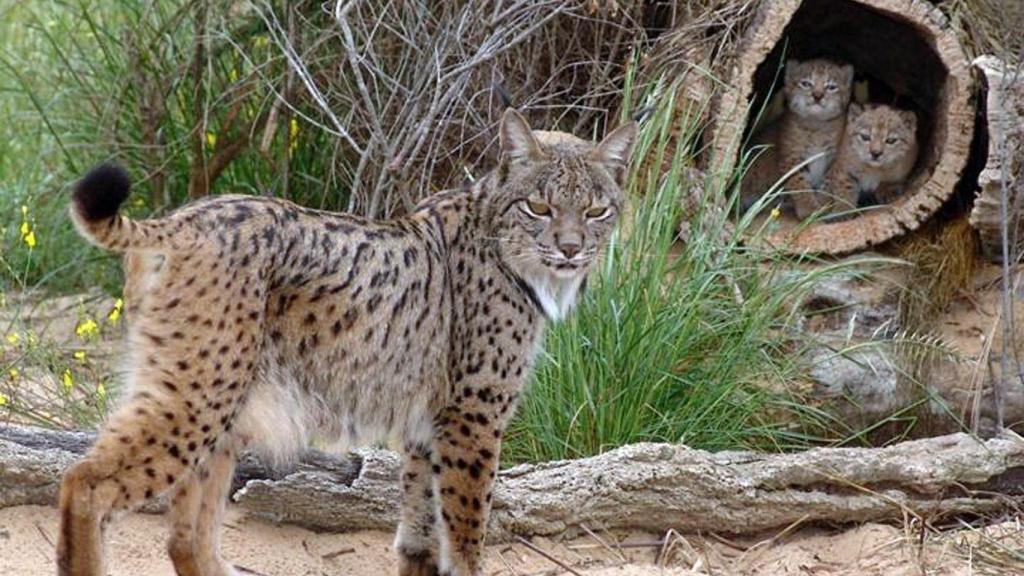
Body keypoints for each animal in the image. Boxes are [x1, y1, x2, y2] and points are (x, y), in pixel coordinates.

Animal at [56, 108, 634, 573]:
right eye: (538, 207)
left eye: (596, 211)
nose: (570, 249)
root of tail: (180, 218)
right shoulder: (473, 414)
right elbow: (466, 533)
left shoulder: (428, 422)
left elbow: (420, 531)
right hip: (200, 391)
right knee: (83, 480)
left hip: (224, 402)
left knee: (184, 538)